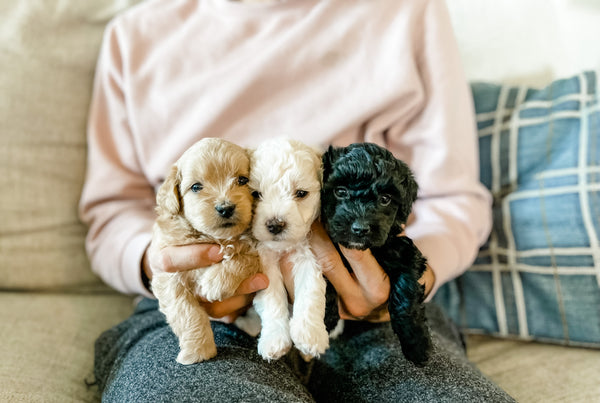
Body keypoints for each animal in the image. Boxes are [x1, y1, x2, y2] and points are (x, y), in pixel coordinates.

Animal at [150, 139, 260, 366]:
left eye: (242, 180)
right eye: (196, 187)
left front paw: (216, 281)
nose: (225, 208)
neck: (215, 238)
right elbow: (186, 312)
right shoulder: (169, 275)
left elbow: (245, 258)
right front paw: (199, 351)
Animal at [251, 140, 330, 362]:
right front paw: (274, 339)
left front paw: (310, 335)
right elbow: (272, 298)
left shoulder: (308, 257)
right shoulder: (265, 264)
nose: (275, 224)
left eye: (301, 193)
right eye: (255, 194)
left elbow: (310, 291)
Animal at [322, 144, 434, 368]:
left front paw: (417, 343)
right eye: (340, 191)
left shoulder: (403, 252)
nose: (360, 229)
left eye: (385, 199)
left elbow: (405, 295)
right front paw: (325, 321)